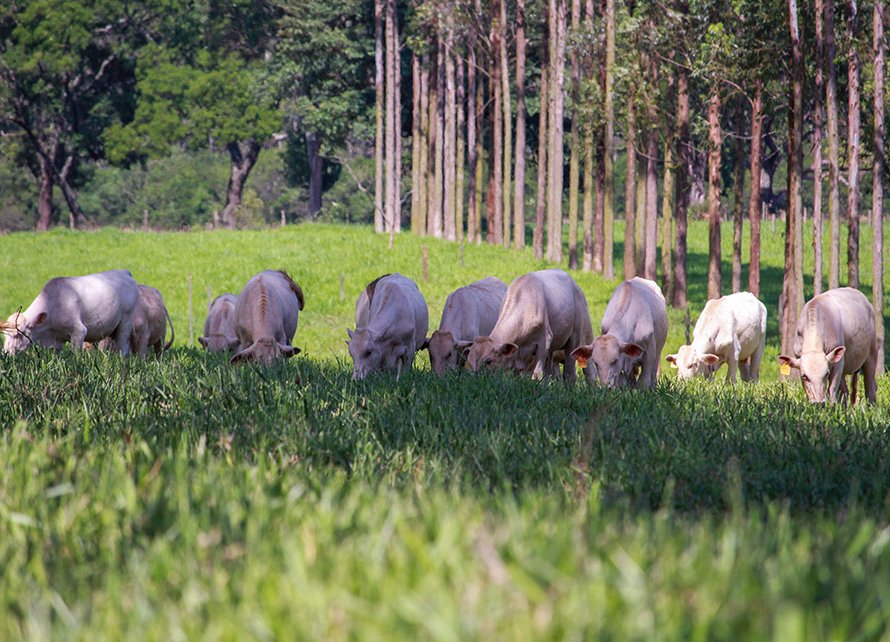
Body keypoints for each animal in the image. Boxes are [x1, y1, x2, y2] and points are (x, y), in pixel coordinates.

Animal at [462, 268, 592, 382]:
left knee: (573, 373)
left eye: (488, 361)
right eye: (469, 361)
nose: (477, 380)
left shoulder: (544, 341)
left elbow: (537, 375)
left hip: (578, 334)